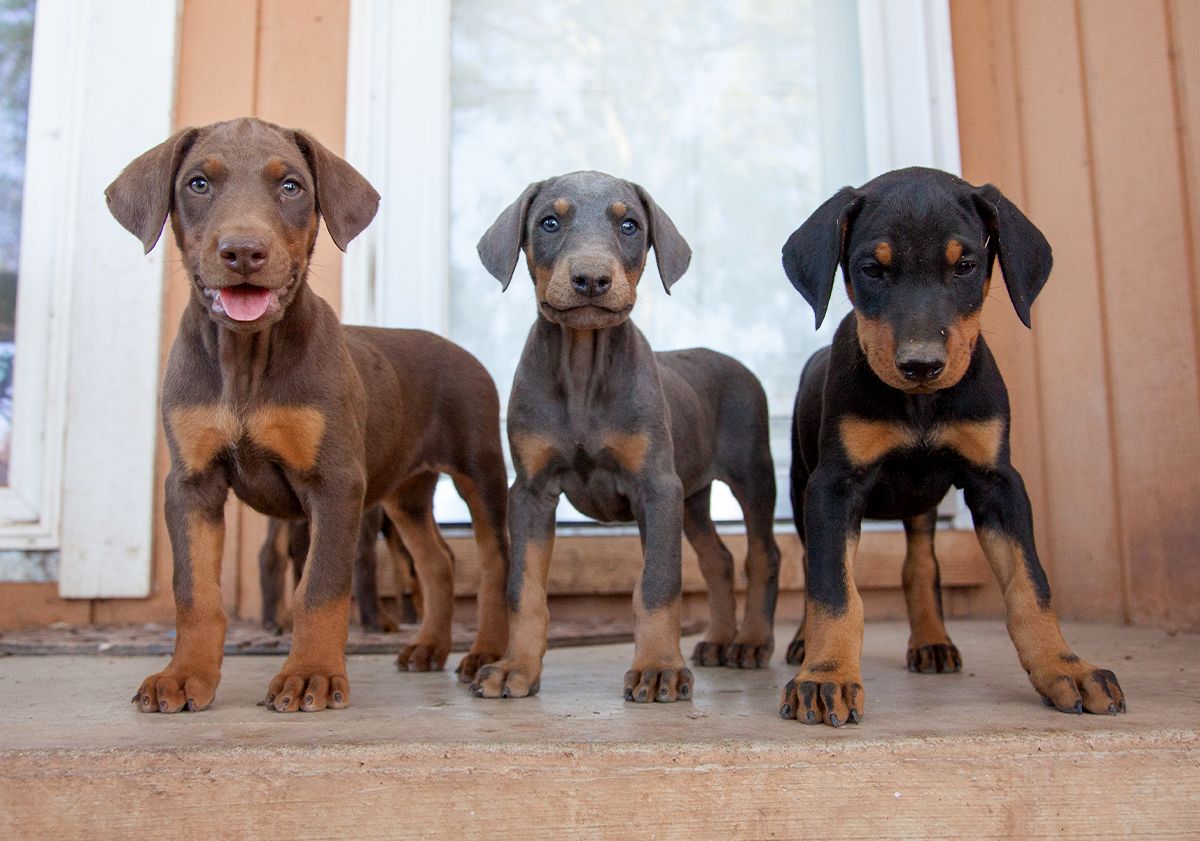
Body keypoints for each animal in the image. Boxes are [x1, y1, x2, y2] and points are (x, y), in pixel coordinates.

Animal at [104, 114, 511, 710]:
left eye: (291, 186)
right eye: (197, 184)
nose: (243, 251)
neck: (247, 358)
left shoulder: (335, 482)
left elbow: (319, 588)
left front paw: (310, 675)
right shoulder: (191, 482)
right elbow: (194, 591)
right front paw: (184, 676)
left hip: (478, 470)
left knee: (494, 561)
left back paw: (486, 654)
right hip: (404, 491)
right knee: (437, 561)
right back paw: (429, 648)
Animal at [472, 170, 782, 700]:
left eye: (630, 225)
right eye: (549, 222)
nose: (592, 279)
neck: (582, 366)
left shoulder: (656, 487)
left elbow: (658, 584)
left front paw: (658, 669)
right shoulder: (531, 491)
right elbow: (523, 588)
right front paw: (515, 667)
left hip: (751, 475)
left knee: (763, 555)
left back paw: (751, 643)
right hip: (692, 496)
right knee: (718, 559)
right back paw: (720, 640)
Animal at [777, 166, 1123, 724]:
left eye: (965, 266)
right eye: (872, 269)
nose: (921, 365)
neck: (921, 405)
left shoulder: (998, 482)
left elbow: (1031, 585)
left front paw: (1065, 666)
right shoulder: (833, 487)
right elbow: (833, 589)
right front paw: (826, 674)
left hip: (921, 503)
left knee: (920, 563)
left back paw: (931, 641)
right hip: (799, 484)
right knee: (814, 563)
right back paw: (806, 643)